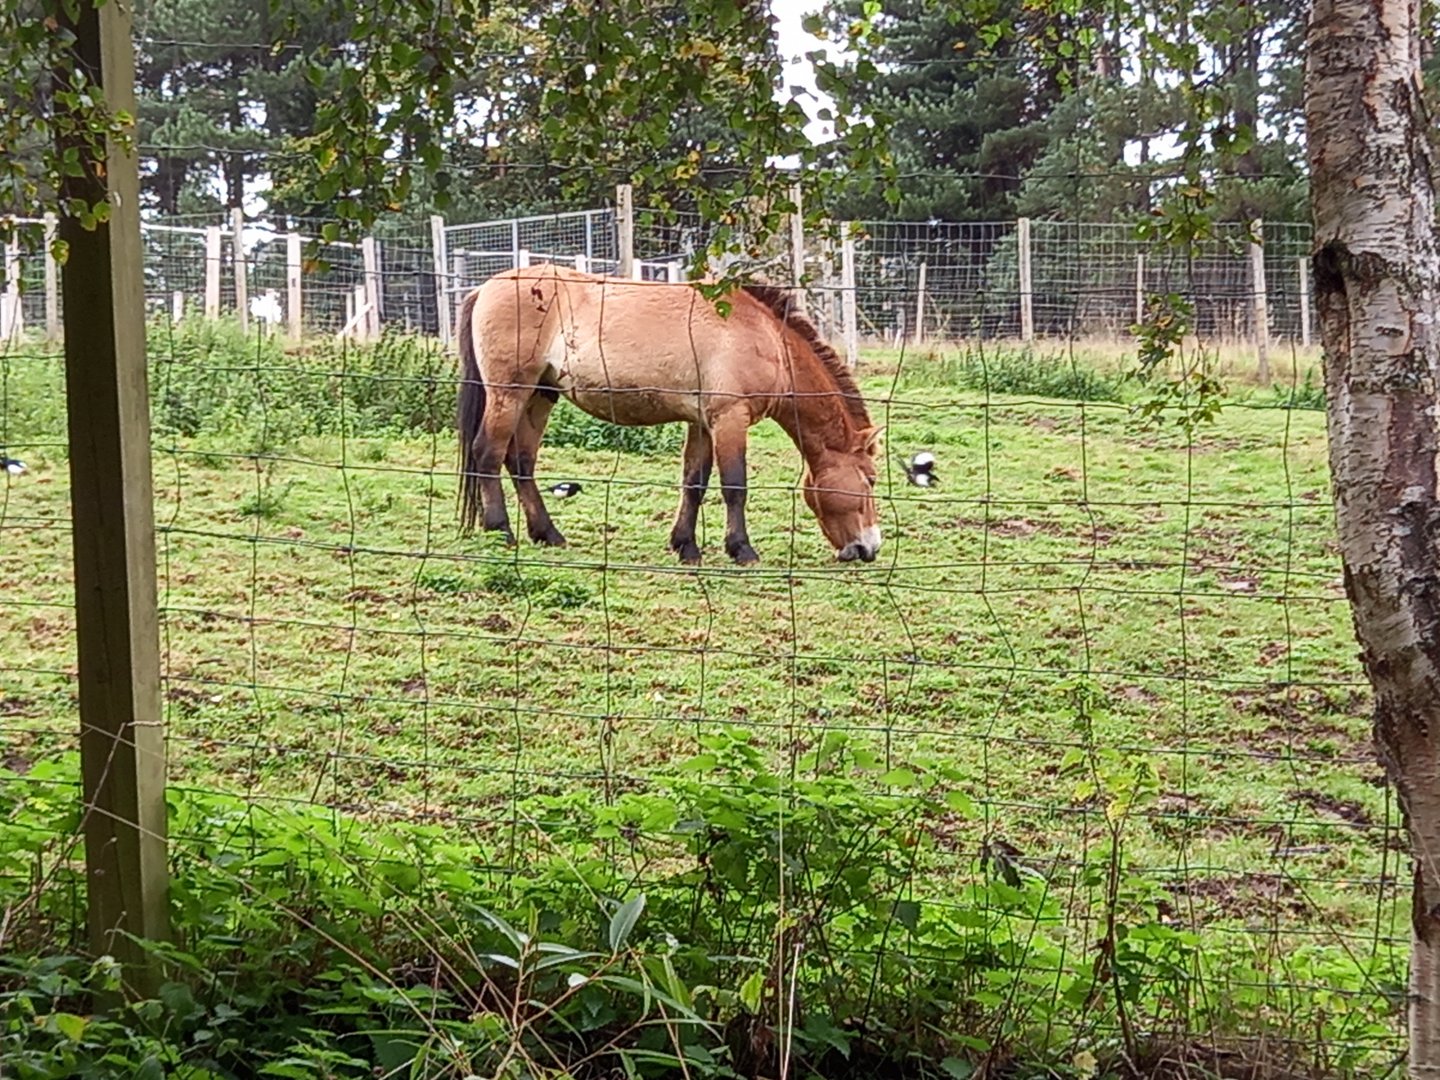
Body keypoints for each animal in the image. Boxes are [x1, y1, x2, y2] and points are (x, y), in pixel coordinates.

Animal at [455, 265, 883, 565]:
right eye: (871, 480)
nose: (869, 548)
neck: (766, 338)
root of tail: (484, 288)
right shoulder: (730, 418)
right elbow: (734, 486)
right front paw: (742, 549)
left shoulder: (702, 424)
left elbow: (694, 483)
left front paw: (686, 546)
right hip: (509, 394)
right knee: (488, 455)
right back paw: (501, 531)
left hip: (540, 397)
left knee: (521, 462)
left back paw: (548, 534)